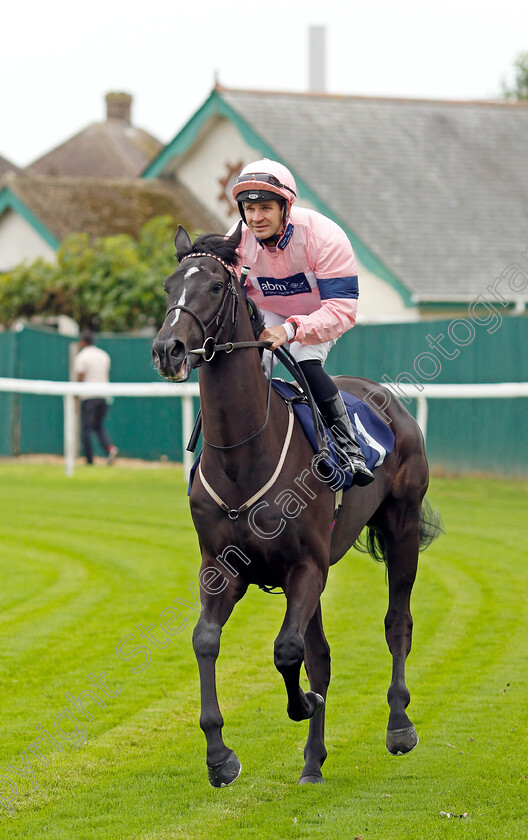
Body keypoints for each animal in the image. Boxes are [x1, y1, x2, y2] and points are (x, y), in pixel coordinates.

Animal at [152, 223, 442, 788]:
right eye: (170, 285)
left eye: (215, 286)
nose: (167, 349)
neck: (243, 455)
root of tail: (388, 402)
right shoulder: (222, 569)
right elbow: (206, 640)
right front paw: (220, 756)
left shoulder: (305, 565)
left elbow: (287, 650)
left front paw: (301, 704)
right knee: (322, 655)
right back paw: (313, 762)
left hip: (399, 527)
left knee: (397, 621)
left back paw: (399, 725)